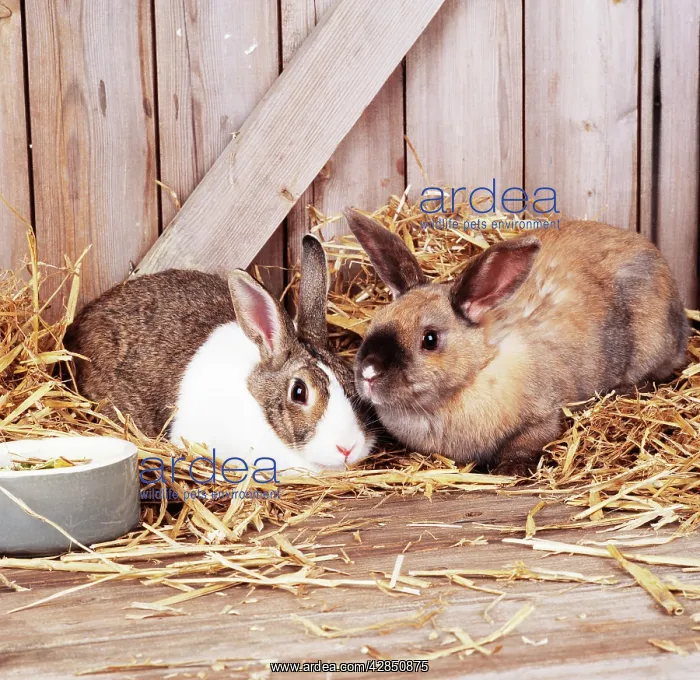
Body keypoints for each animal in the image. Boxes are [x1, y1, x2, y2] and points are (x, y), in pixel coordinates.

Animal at [343, 208, 690, 473]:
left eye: (430, 339)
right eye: (376, 320)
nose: (369, 373)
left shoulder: (544, 418)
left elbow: (525, 444)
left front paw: (509, 469)